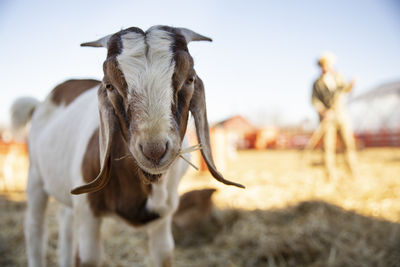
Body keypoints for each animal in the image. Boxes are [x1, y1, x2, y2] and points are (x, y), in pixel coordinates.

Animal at [10, 25, 244, 267]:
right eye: (109, 85)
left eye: (189, 80)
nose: (154, 151)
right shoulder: (88, 211)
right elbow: (87, 257)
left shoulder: (164, 214)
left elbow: (164, 253)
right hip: (35, 176)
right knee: (35, 229)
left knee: (65, 221)